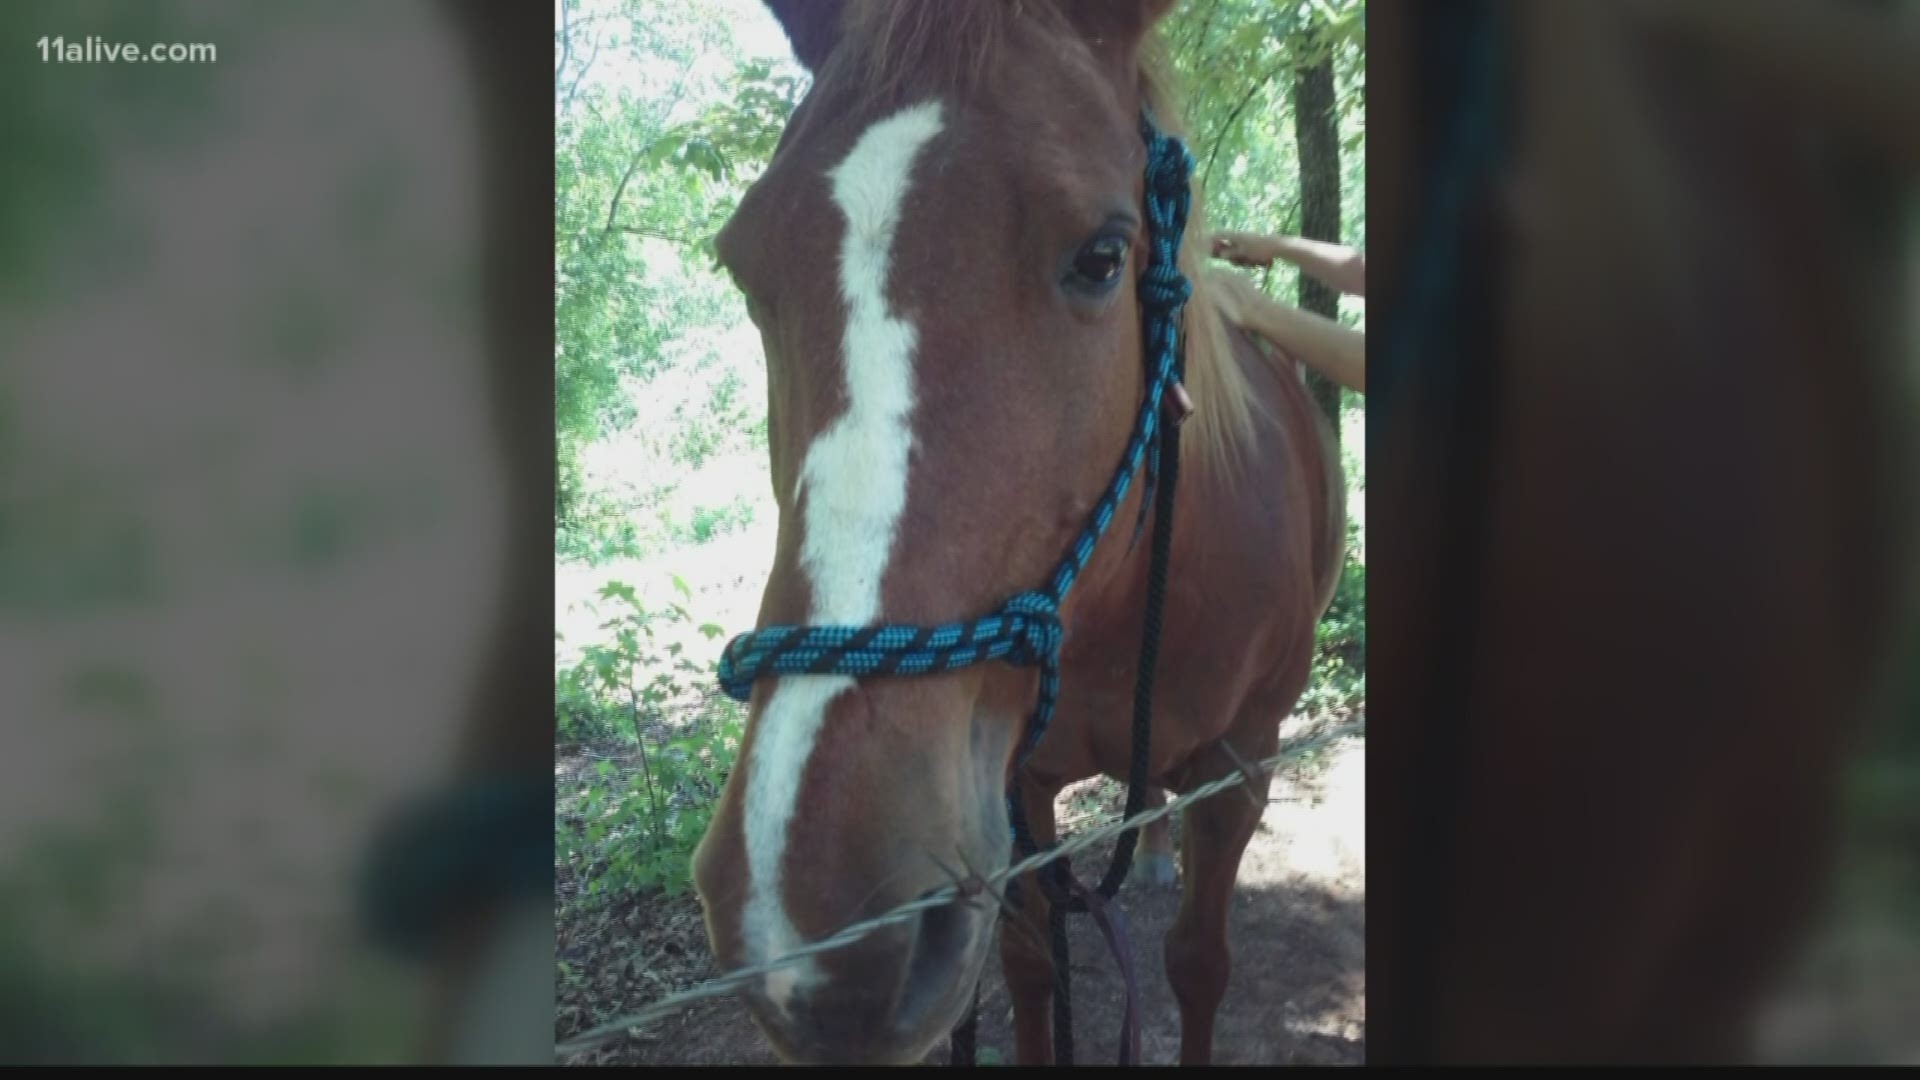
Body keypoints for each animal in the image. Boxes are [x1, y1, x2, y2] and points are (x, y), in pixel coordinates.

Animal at [691, 0, 1351, 1060]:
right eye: (746, 271)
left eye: (1104, 257)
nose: (813, 926)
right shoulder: (1015, 787)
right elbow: (1033, 966)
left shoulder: (1241, 766)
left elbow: (1199, 964)